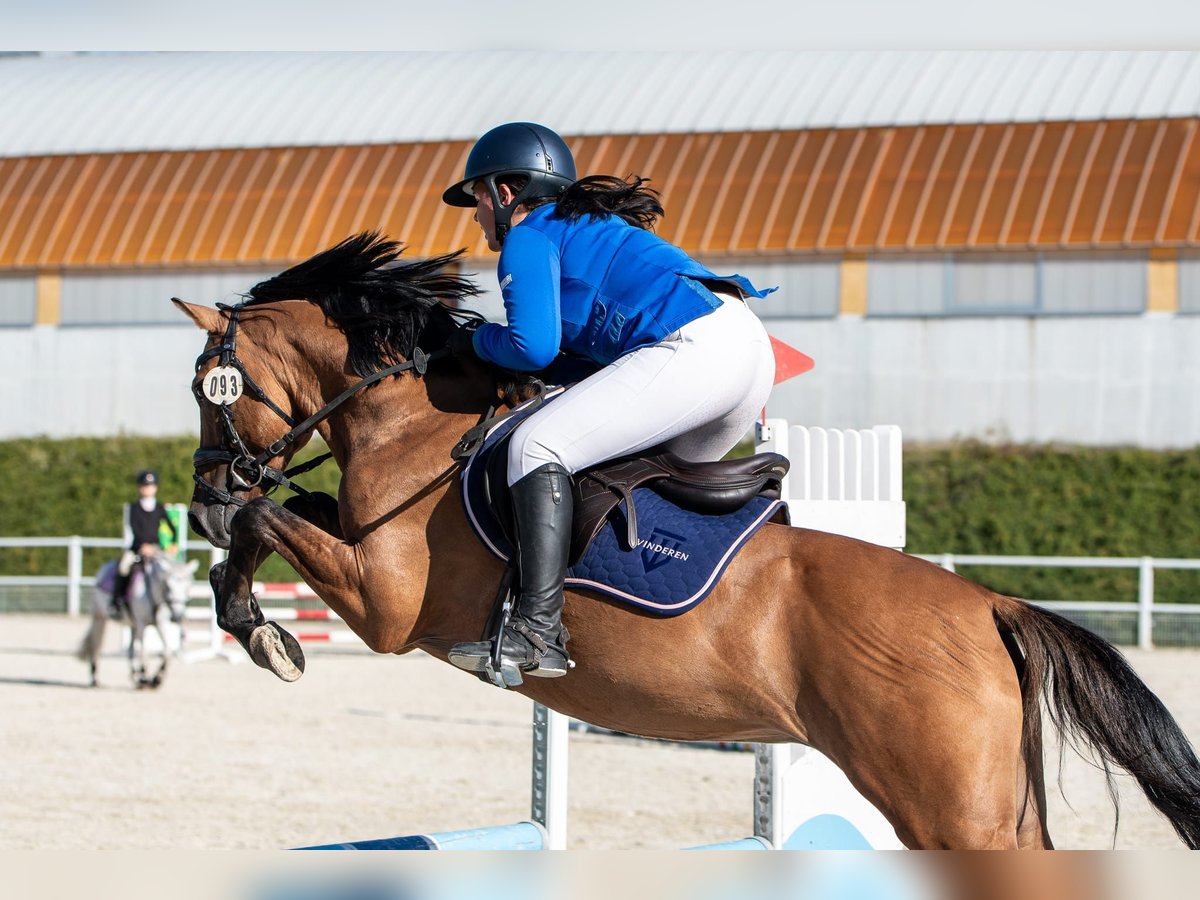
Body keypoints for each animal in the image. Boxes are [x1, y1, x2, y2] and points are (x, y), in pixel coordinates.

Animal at [77, 549, 196, 691]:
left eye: (189, 585)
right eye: (168, 586)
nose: (177, 616)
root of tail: (104, 567)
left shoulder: (160, 624)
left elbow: (166, 650)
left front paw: (156, 679)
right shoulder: (141, 624)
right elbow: (144, 651)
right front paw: (145, 677)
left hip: (131, 624)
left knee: (130, 650)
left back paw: (135, 677)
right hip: (99, 617)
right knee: (96, 644)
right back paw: (95, 679)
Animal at [175, 234, 1200, 854]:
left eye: (206, 389)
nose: (203, 500)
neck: (413, 429)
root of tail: (991, 604)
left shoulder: (388, 607)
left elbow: (273, 521)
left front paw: (266, 633)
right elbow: (281, 519)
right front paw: (251, 615)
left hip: (951, 813)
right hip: (994, 809)